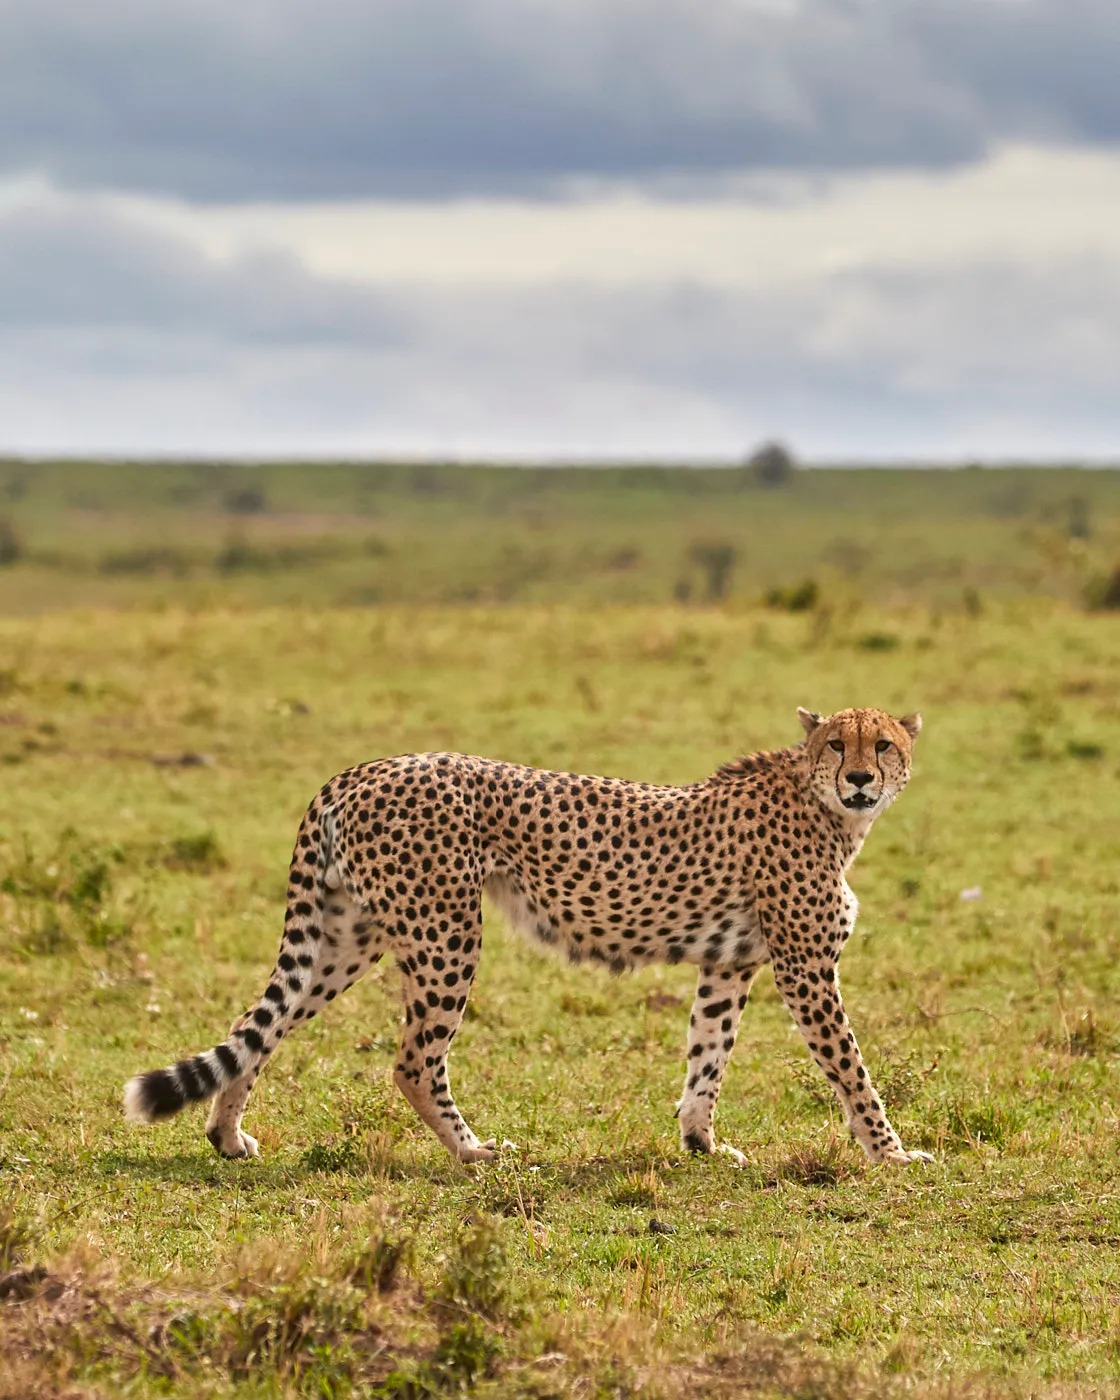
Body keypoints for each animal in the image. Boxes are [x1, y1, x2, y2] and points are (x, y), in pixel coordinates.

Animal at [124, 705, 932, 1169]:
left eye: (884, 745)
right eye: (837, 744)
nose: (861, 779)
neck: (830, 813)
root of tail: (358, 770)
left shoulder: (730, 964)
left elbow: (708, 1056)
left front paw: (701, 1143)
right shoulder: (805, 966)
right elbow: (851, 1067)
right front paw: (892, 1154)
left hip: (347, 934)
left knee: (261, 1025)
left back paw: (227, 1138)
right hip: (446, 931)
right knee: (413, 1061)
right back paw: (475, 1150)